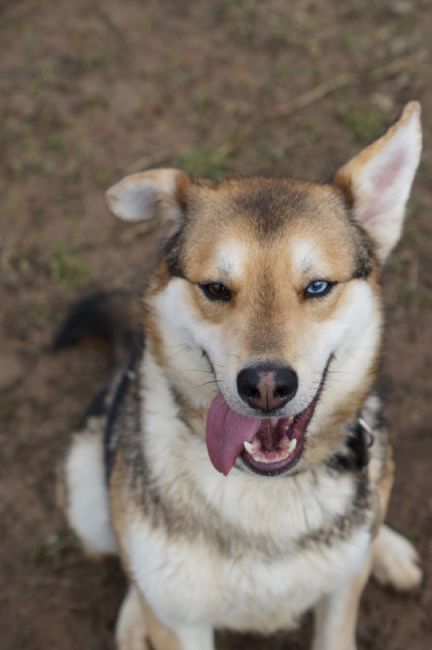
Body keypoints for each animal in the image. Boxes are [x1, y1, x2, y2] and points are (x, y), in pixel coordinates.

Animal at [60, 102, 422, 648]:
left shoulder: (340, 598)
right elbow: (150, 586)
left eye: (318, 286)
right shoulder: (182, 621)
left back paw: (388, 548)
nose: (266, 386)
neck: (265, 490)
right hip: (86, 501)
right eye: (215, 288)